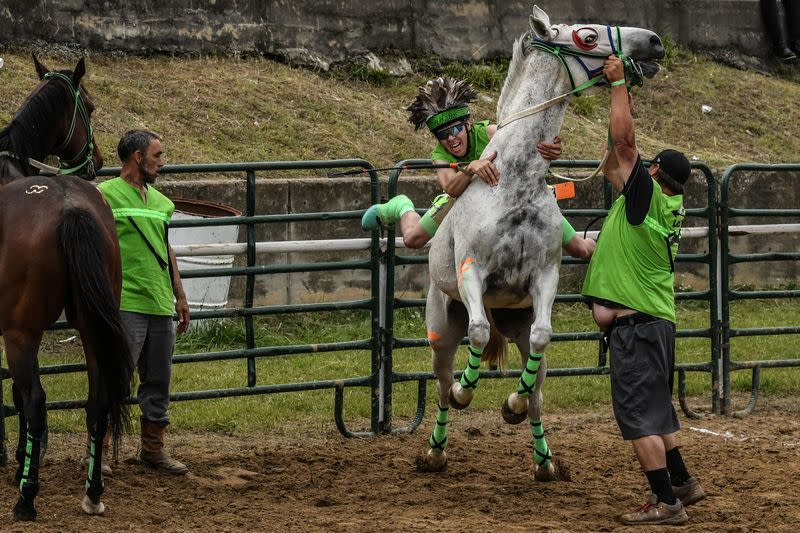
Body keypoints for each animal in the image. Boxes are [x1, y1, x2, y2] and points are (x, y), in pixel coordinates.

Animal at [0, 55, 133, 520]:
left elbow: (17, 397)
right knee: (97, 402)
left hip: (21, 332)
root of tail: (69, 205)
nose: (97, 159)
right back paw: (92, 492)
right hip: (92, 325)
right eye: (90, 107)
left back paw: (27, 499)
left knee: (36, 401)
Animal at [416, 4, 664, 478]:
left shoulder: (544, 279)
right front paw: (466, 392)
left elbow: (542, 338)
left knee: (537, 392)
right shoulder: (473, 272)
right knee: (441, 387)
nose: (655, 41)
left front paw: (511, 404)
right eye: (587, 36)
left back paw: (544, 460)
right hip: (441, 332)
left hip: (517, 321)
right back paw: (435, 450)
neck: (515, 184)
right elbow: (478, 334)